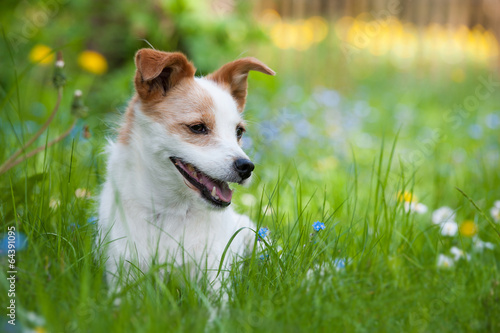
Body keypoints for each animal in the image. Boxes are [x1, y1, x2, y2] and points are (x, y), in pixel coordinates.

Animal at [97, 48, 276, 292]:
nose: (246, 167)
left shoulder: (215, 279)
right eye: (198, 128)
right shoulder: (121, 278)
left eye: (239, 132)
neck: (172, 212)